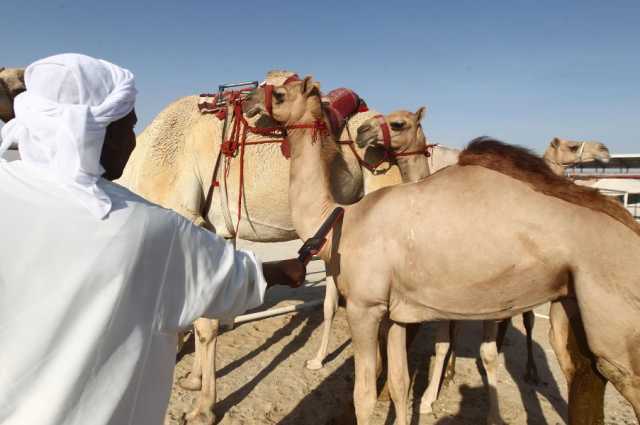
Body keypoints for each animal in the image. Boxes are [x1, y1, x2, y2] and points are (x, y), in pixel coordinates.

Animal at [248, 75, 640, 424]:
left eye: (279, 93)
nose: (251, 101)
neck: (341, 218)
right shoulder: (396, 313)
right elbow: (400, 383)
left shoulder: (365, 307)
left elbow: (364, 395)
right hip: (573, 308)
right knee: (583, 374)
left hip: (617, 329)